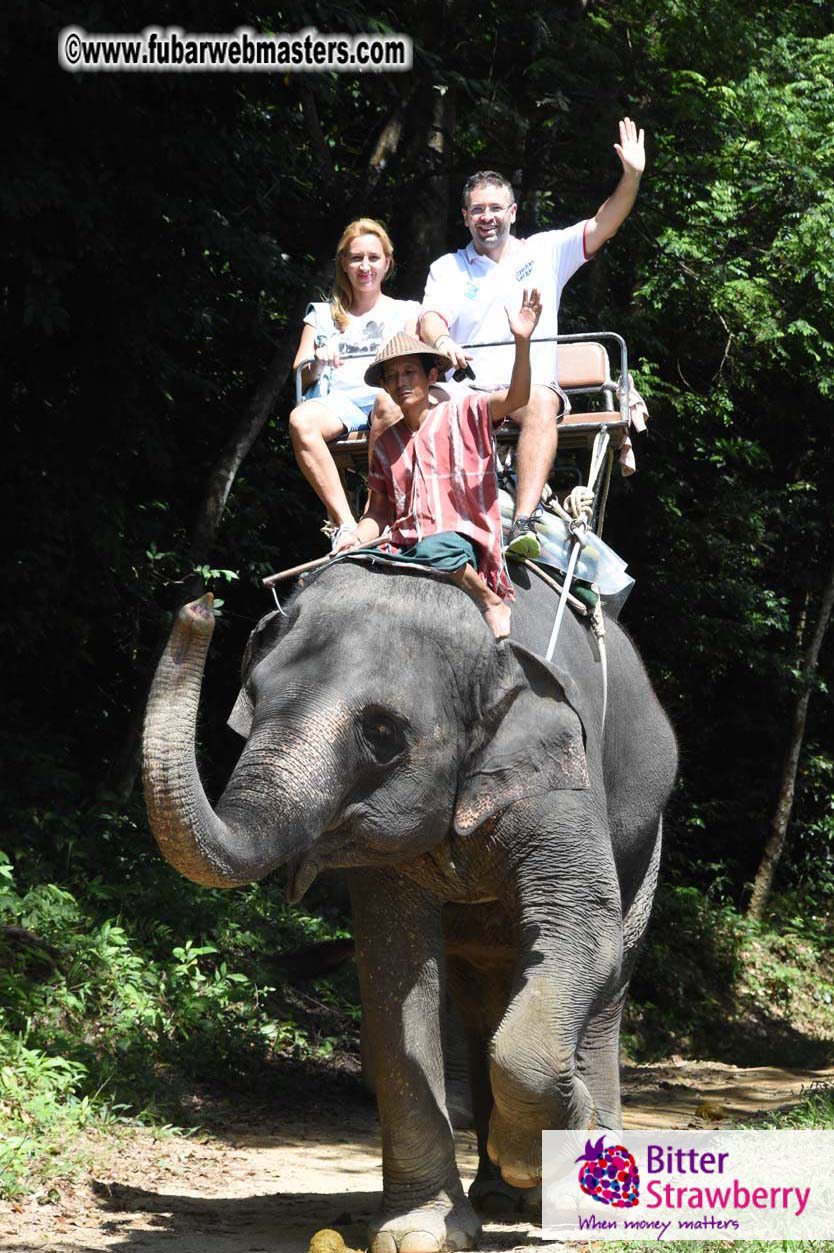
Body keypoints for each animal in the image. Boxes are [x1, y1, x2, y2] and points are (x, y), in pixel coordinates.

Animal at [142, 558, 677, 1253]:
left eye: (382, 733)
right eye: (252, 700)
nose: (199, 603)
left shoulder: (566, 772)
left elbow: (581, 928)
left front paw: (553, 1135)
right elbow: (394, 971)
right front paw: (420, 1233)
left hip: (649, 836)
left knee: (611, 976)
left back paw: (582, 1193)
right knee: (484, 994)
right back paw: (503, 1197)